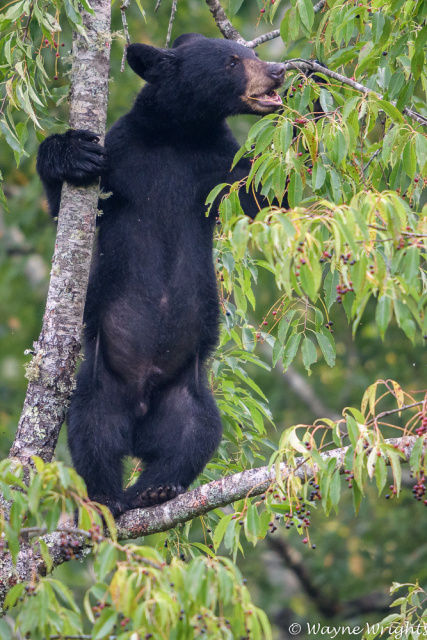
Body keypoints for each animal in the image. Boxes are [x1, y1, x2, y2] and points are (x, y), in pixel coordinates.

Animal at [36, 33, 284, 516]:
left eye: (252, 53)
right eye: (232, 61)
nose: (278, 71)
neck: (179, 133)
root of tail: (141, 413)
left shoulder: (221, 166)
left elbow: (269, 194)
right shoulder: (124, 153)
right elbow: (64, 205)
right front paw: (72, 153)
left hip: (187, 392)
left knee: (195, 434)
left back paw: (155, 489)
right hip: (101, 382)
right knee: (92, 429)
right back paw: (108, 494)